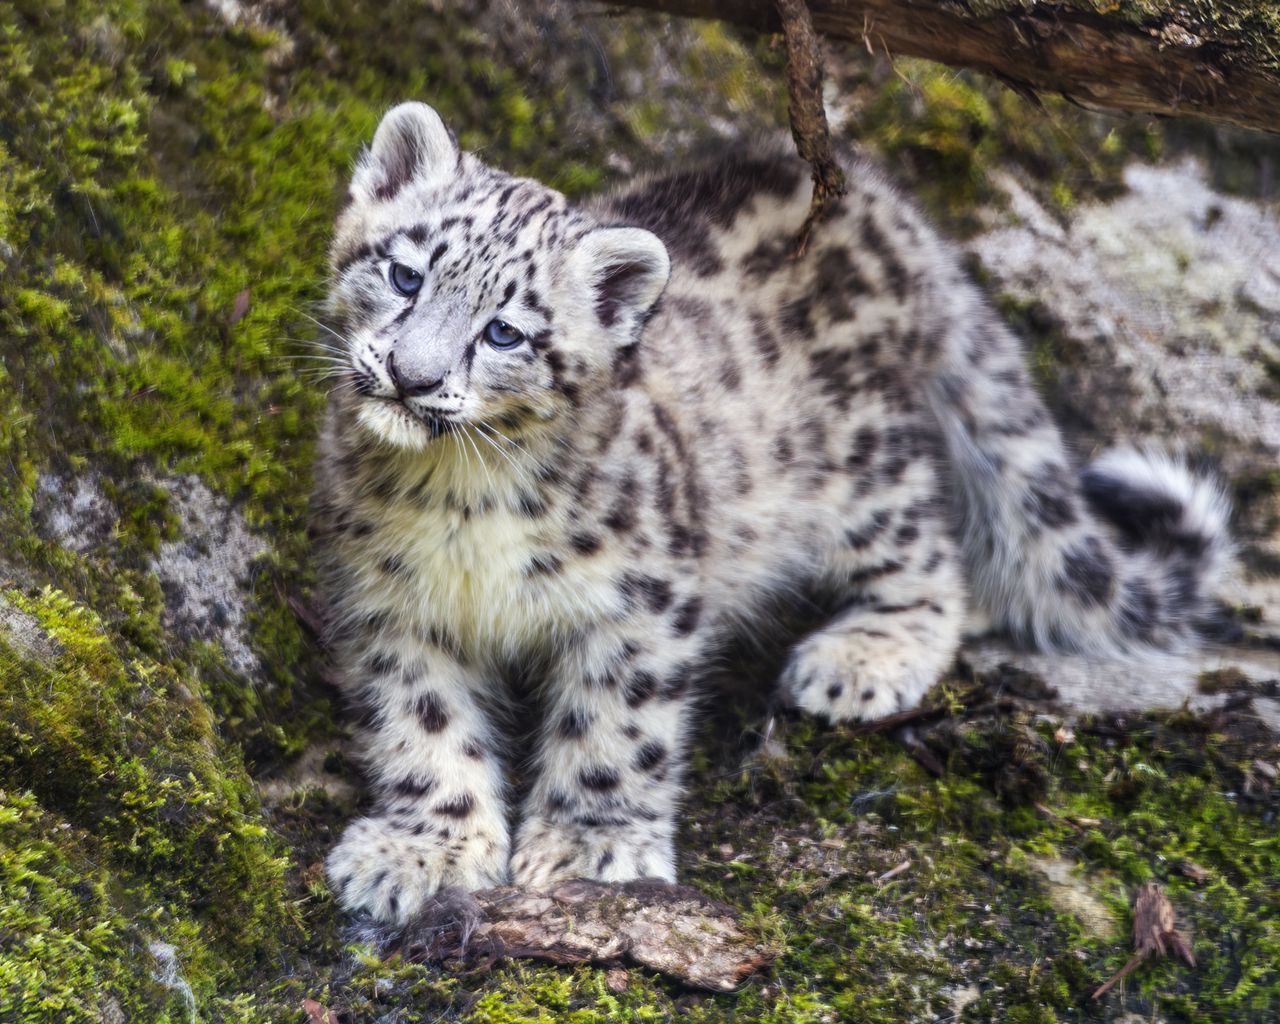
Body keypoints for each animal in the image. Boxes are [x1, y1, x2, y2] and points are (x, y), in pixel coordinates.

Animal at [312, 102, 1232, 925]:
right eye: (404, 275)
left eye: (506, 333)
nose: (412, 376)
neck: (459, 498)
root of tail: (889, 211)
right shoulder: (391, 604)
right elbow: (422, 726)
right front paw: (422, 850)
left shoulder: (643, 600)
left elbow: (618, 725)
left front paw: (590, 847)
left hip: (860, 469)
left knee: (933, 556)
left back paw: (863, 656)